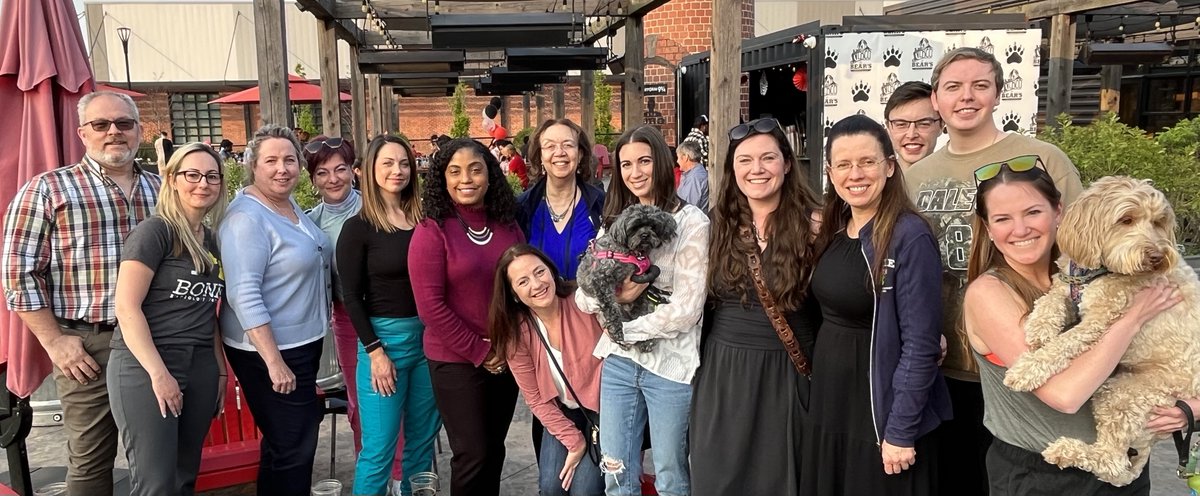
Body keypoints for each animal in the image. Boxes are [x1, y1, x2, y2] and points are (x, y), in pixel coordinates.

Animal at [578, 202, 681, 350]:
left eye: (653, 226)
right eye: (635, 227)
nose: (645, 235)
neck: (633, 253)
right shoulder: (600, 279)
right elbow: (610, 309)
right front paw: (616, 331)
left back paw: (646, 342)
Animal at [1003, 175, 1200, 485]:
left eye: (1158, 222)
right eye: (1126, 219)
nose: (1158, 256)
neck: (1095, 271)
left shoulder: (1098, 321)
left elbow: (1063, 344)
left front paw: (1026, 370)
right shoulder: (1067, 285)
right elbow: (1050, 298)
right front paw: (1039, 326)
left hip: (1122, 395)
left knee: (1112, 461)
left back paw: (1066, 451)